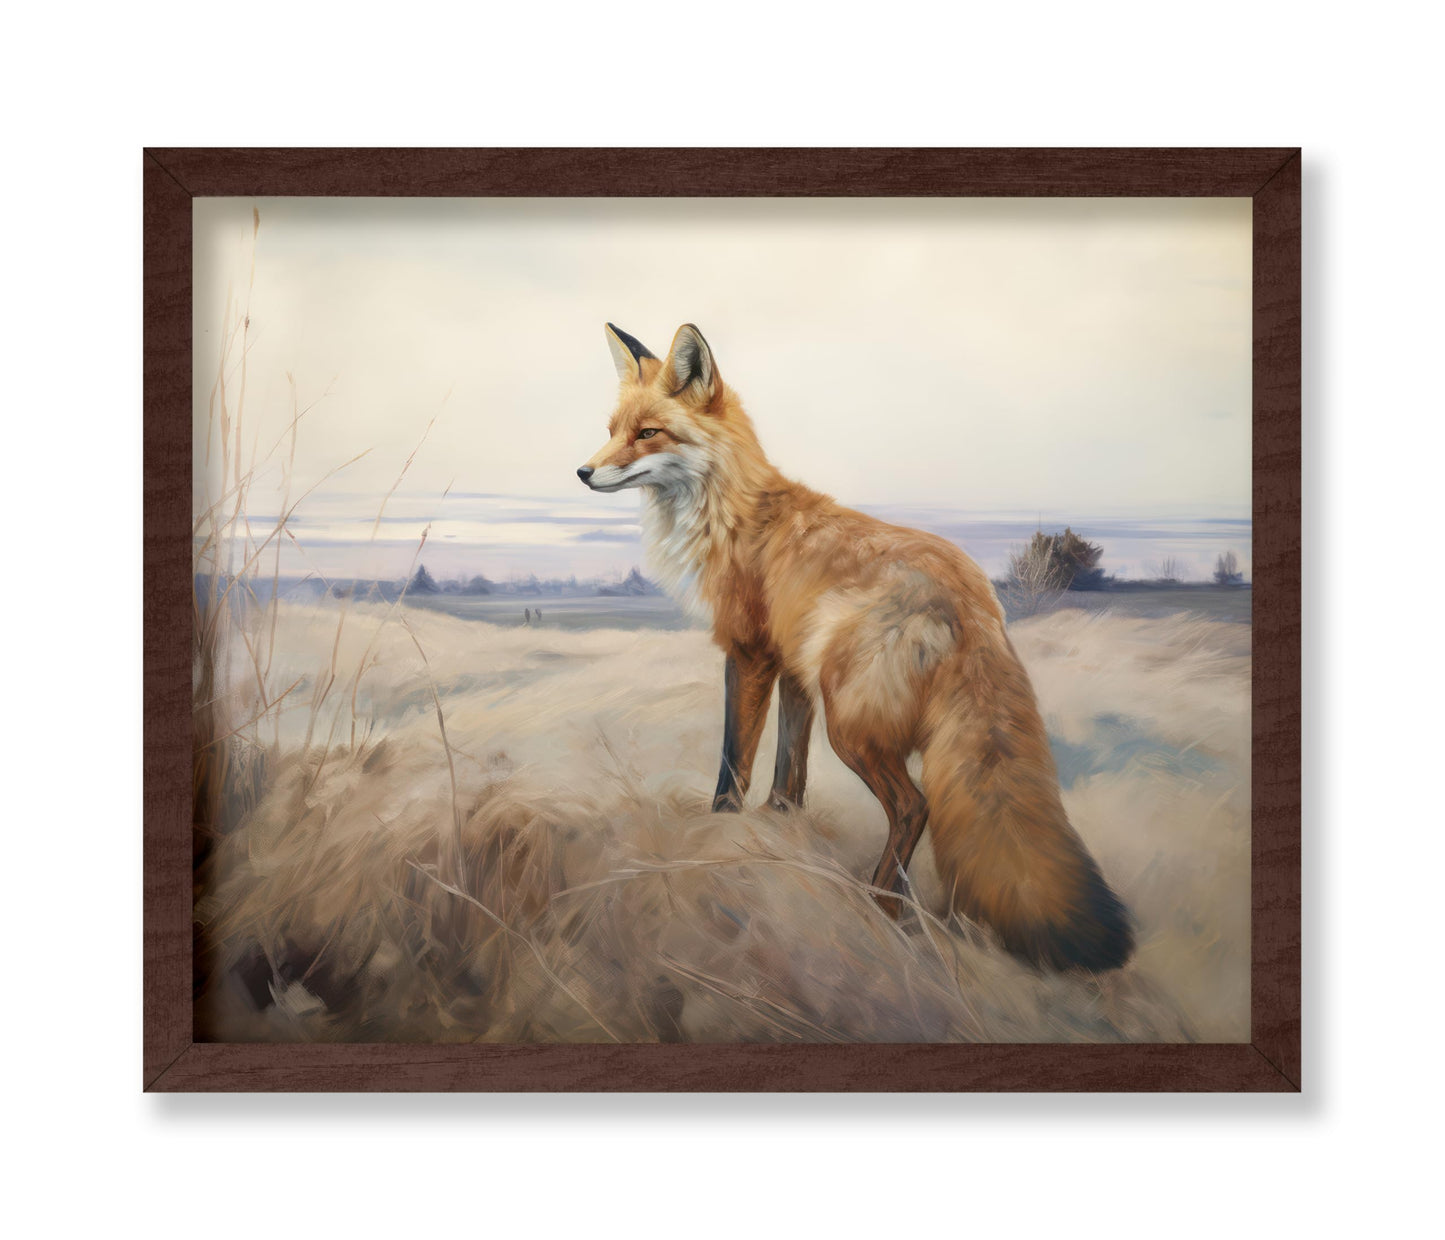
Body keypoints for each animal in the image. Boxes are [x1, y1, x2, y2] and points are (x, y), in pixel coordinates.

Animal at [578, 323, 1134, 972]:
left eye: (648, 434)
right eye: (611, 431)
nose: (583, 472)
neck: (733, 513)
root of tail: (976, 600)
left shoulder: (749, 654)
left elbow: (734, 761)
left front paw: (717, 837)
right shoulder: (793, 668)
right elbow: (789, 766)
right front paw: (779, 827)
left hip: (852, 723)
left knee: (915, 807)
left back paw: (881, 911)